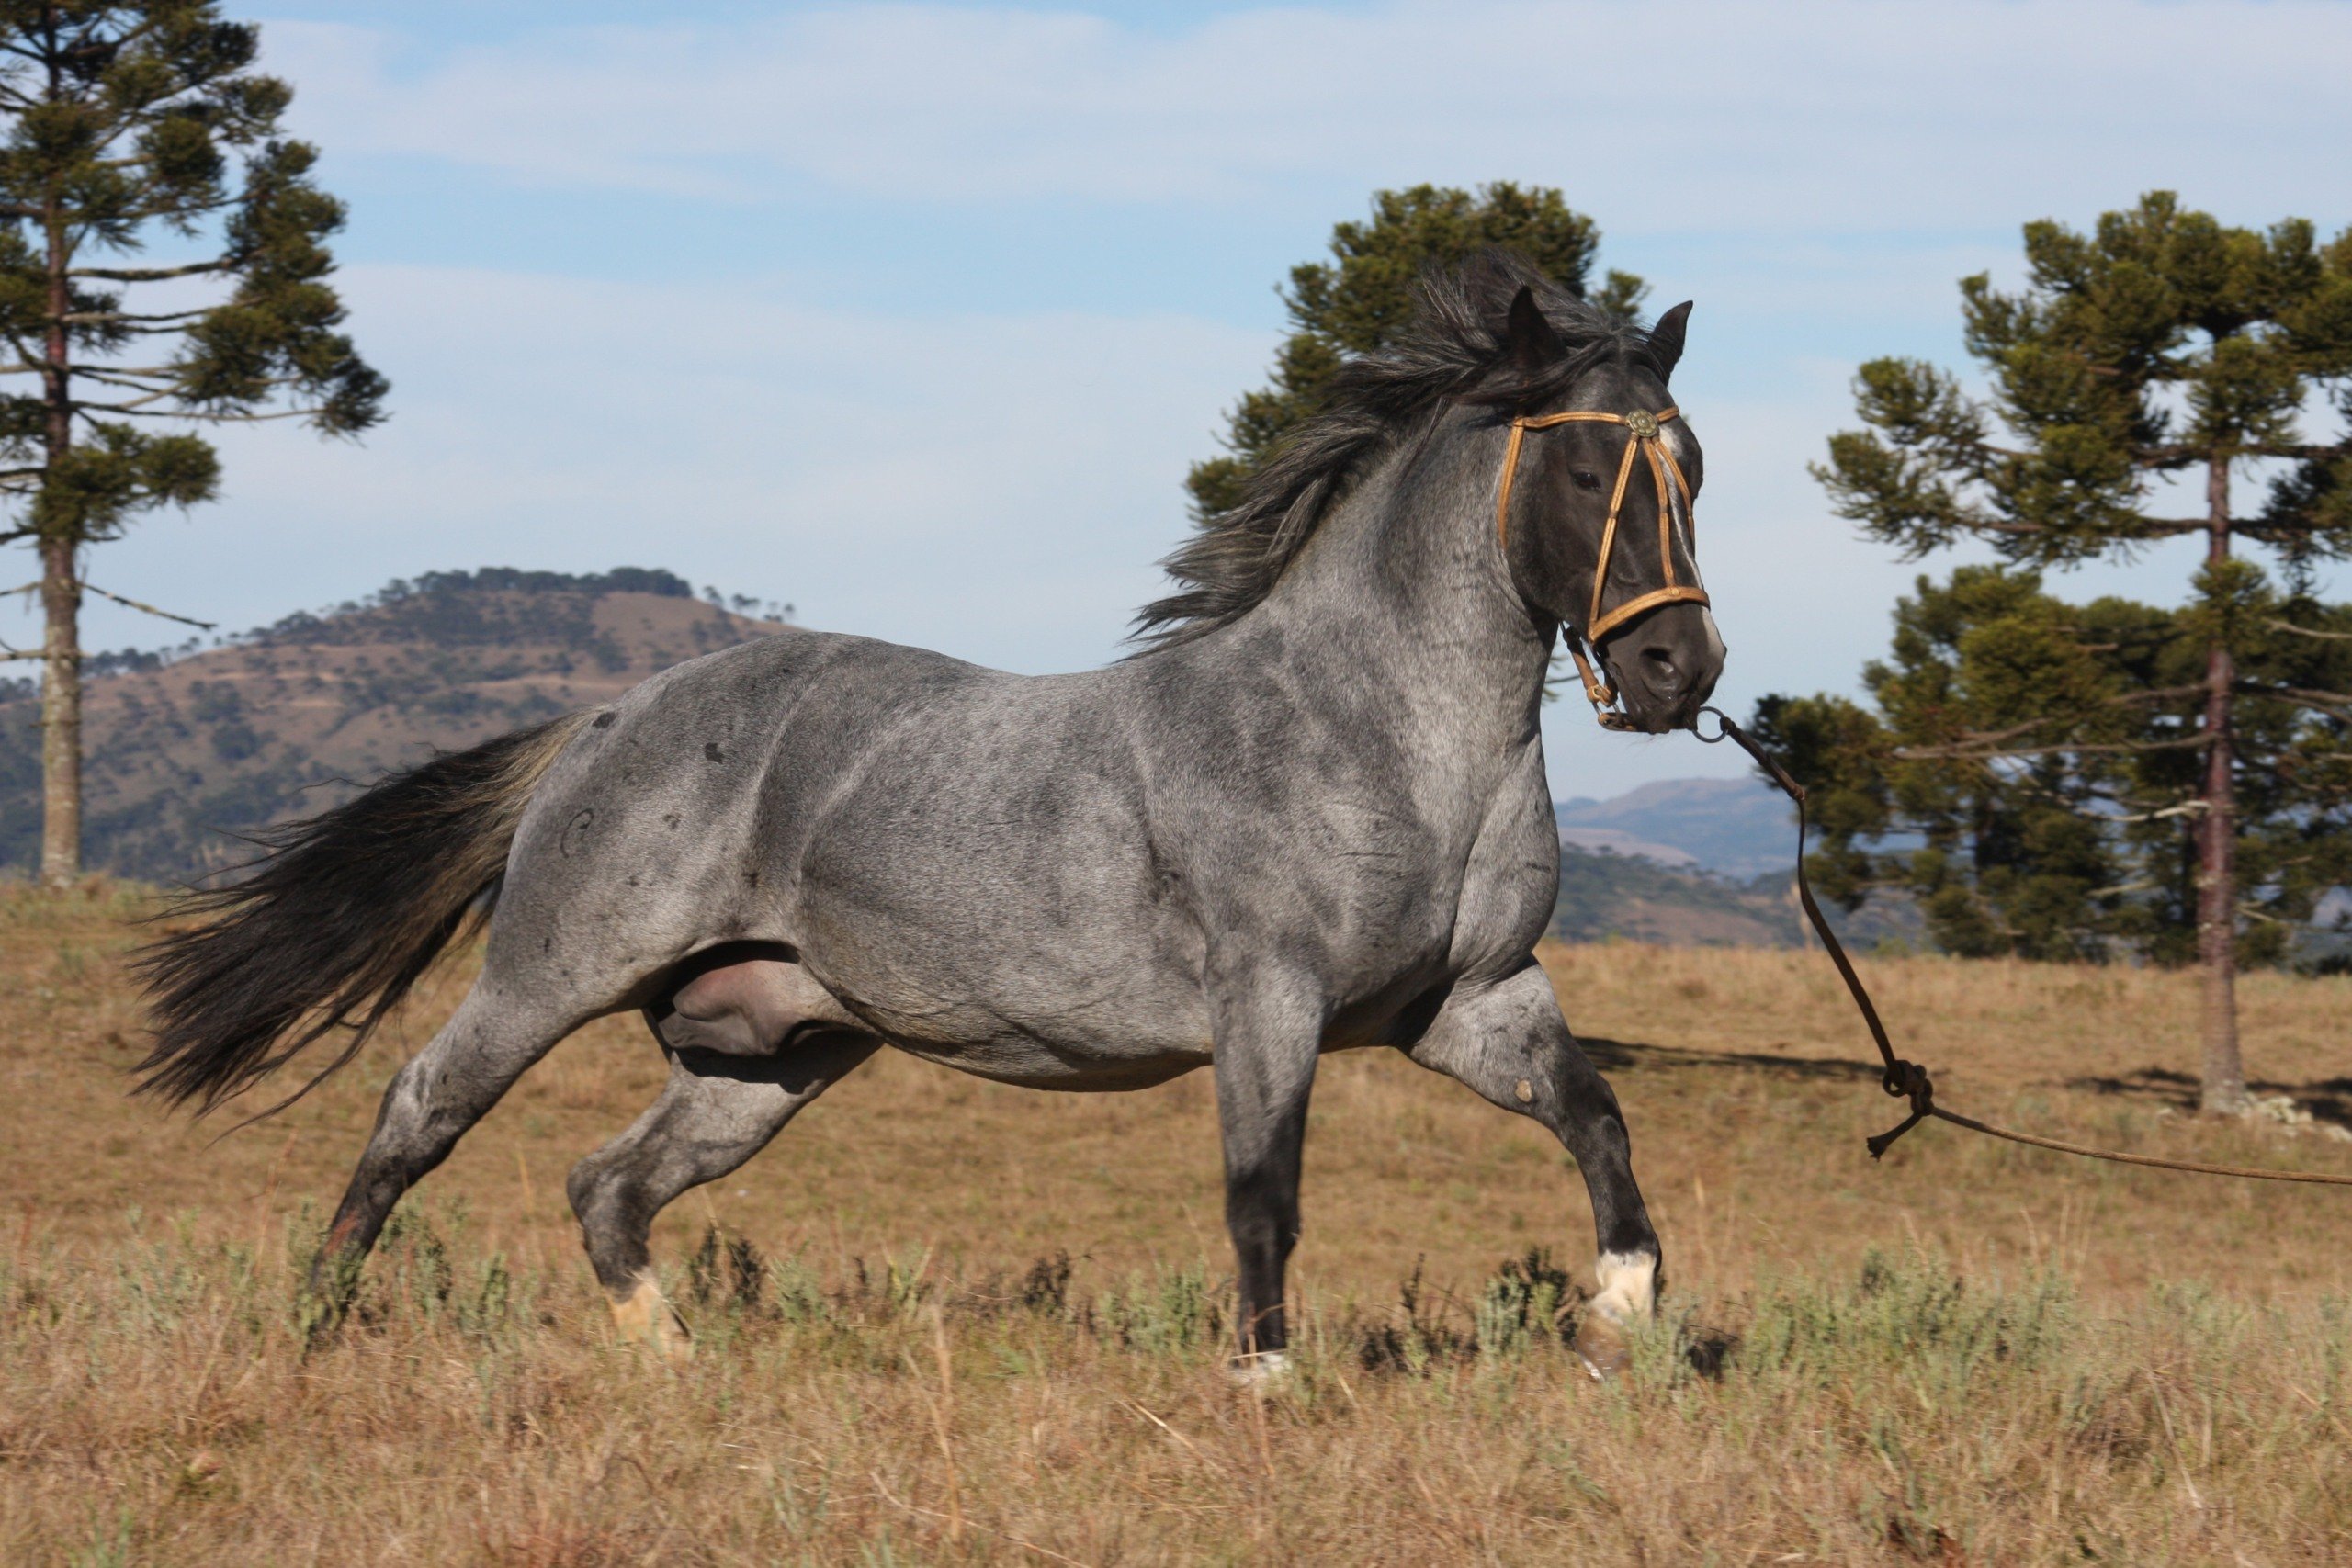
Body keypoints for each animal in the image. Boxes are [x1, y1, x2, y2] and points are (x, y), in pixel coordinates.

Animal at [141, 251, 1731, 1382]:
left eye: (1693, 465)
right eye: (1585, 467)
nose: (1680, 669)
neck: (1387, 738)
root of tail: (605, 719)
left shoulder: (1470, 998)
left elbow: (1599, 1123)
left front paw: (1621, 1318)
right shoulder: (1269, 1000)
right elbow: (1262, 1192)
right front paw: (1264, 1386)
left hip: (767, 1052)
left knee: (611, 1181)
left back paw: (678, 1364)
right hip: (555, 971)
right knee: (421, 1108)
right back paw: (314, 1327)